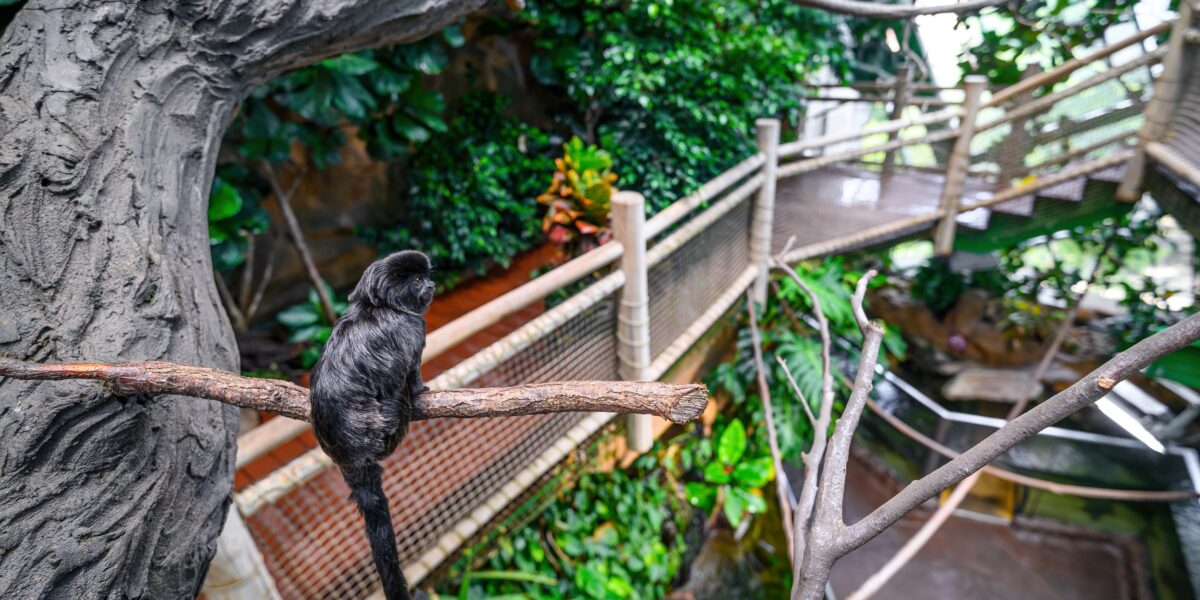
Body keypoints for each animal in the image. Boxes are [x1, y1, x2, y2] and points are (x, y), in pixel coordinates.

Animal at [309, 250, 435, 600]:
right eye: (417, 280)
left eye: (426, 276)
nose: (432, 284)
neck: (382, 306)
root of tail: (352, 453)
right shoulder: (411, 329)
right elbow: (410, 372)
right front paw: (421, 390)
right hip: (385, 426)